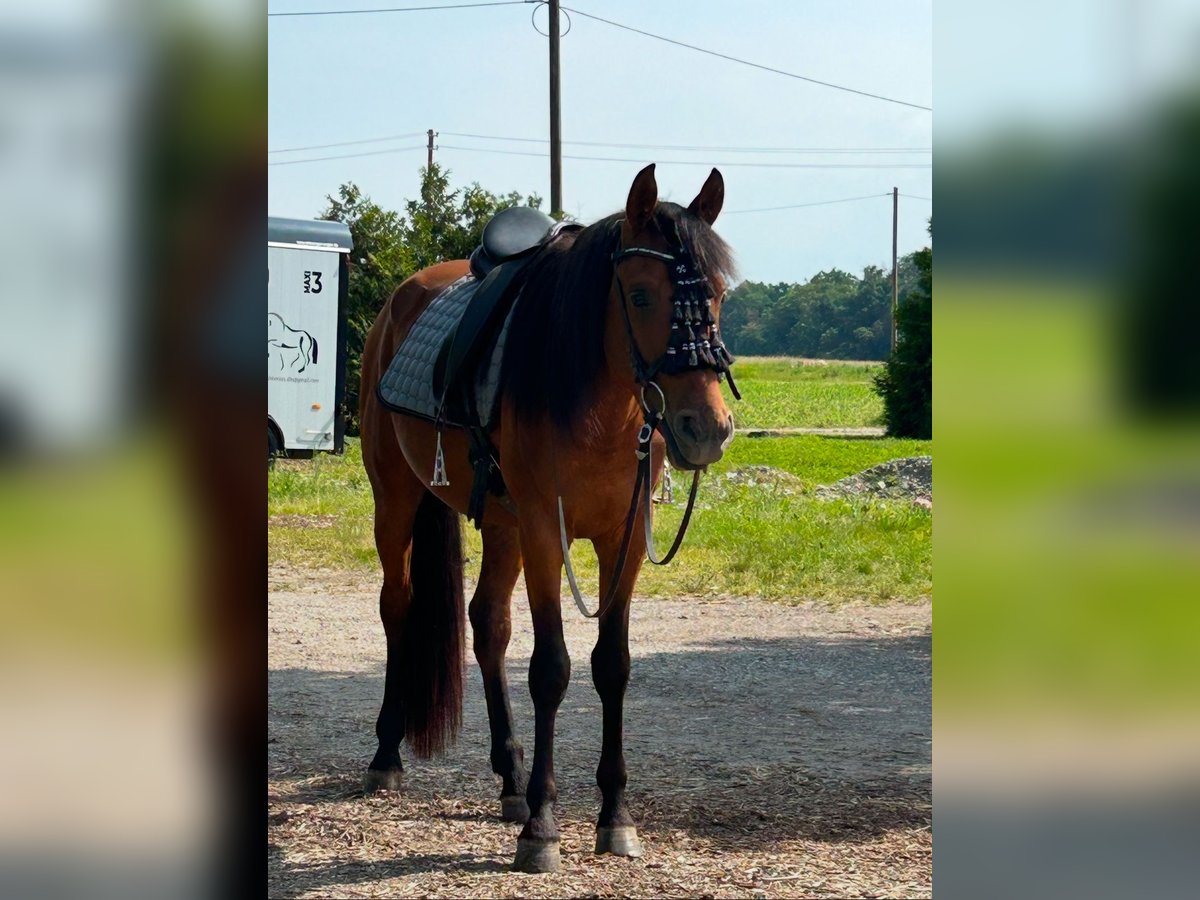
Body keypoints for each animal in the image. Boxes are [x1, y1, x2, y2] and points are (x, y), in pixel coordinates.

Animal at [355, 164, 734, 873]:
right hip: (396, 499)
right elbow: (551, 669)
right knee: (399, 607)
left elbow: (611, 665)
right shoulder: (543, 531)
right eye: (640, 295)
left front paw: (615, 817)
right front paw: (543, 826)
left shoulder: (622, 541)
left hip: (500, 525)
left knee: (488, 626)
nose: (706, 428)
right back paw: (387, 755)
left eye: (720, 293)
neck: (599, 402)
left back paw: (509, 777)